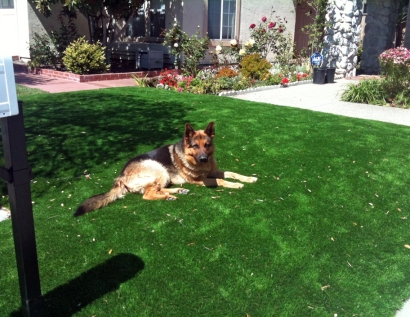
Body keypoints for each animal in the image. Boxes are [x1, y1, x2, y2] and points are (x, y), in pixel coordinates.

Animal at [74, 121, 256, 215]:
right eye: (195, 146)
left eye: (207, 145)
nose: (203, 159)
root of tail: (121, 176)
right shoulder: (200, 180)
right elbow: (221, 181)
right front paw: (236, 185)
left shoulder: (214, 171)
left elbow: (232, 172)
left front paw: (248, 178)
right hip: (159, 169)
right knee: (147, 194)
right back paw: (169, 196)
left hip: (163, 176)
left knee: (156, 189)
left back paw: (176, 192)